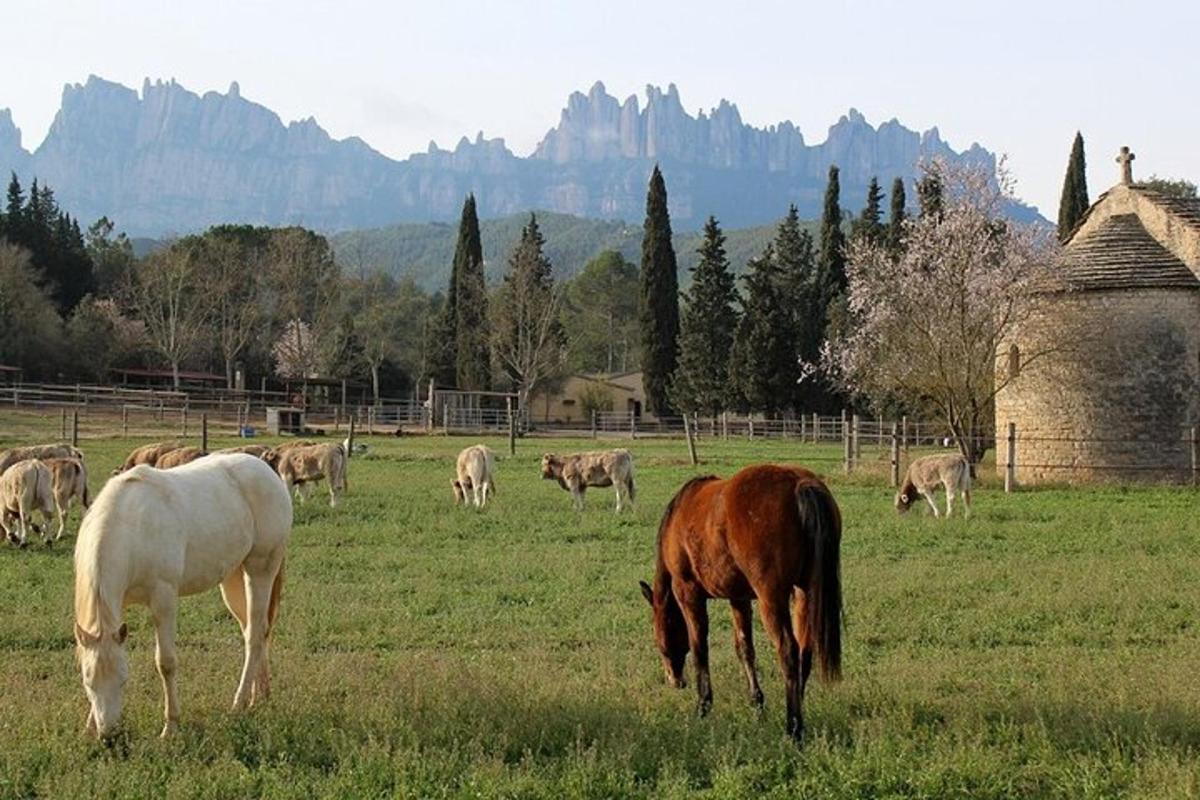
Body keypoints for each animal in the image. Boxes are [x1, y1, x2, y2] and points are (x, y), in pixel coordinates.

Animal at [73, 453, 292, 743]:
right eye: (88, 682)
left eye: (123, 680)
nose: (109, 736)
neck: (131, 527)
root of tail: (267, 471)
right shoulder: (118, 606)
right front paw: (89, 727)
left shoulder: (163, 599)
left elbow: (165, 663)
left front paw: (171, 726)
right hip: (234, 577)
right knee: (253, 631)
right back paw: (259, 697)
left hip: (261, 569)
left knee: (255, 635)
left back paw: (238, 703)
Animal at [638, 465, 844, 743]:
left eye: (660, 643)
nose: (675, 681)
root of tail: (799, 483)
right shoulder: (739, 598)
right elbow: (745, 648)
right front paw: (757, 703)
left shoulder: (688, 593)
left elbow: (699, 647)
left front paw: (703, 706)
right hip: (805, 593)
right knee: (804, 652)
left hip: (772, 599)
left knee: (788, 652)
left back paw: (793, 727)